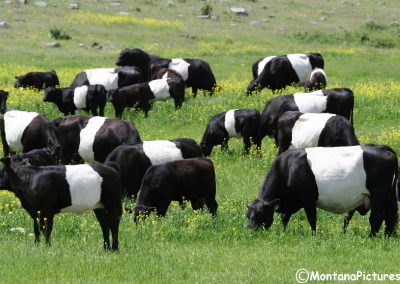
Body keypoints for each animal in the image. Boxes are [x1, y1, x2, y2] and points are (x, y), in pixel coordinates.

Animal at [245, 144, 398, 237]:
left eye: (260, 214)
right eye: (247, 215)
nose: (251, 230)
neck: (288, 168)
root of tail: (383, 148)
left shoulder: (308, 199)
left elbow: (312, 219)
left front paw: (314, 235)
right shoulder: (291, 200)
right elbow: (285, 218)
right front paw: (283, 232)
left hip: (379, 196)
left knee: (377, 217)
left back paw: (371, 237)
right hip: (389, 197)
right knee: (390, 217)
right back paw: (388, 237)